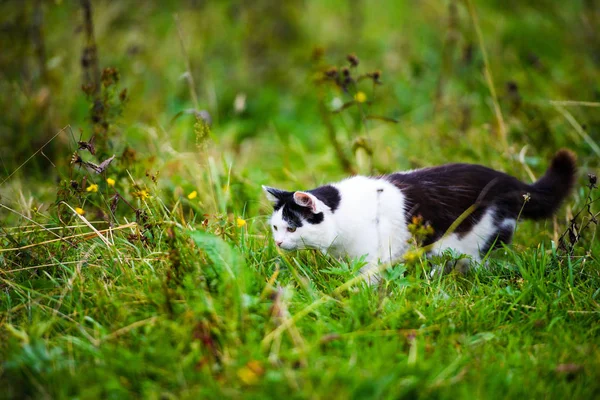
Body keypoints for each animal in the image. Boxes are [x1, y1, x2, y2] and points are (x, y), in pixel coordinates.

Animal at [262, 150, 576, 282]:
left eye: (292, 228)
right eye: (276, 228)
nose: (278, 243)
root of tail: (509, 181)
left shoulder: (375, 258)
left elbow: (367, 282)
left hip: (470, 243)